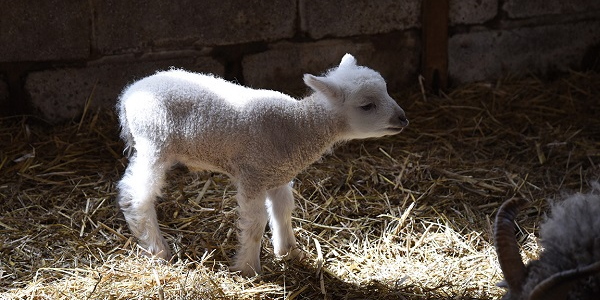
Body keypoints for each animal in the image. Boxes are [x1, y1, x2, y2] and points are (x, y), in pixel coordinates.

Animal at [116, 52, 408, 276]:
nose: (403, 119)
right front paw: (248, 269)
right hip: (154, 143)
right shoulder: (253, 175)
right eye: (367, 105)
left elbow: (283, 211)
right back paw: (157, 249)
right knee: (138, 197)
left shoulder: (277, 174)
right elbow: (256, 223)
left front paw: (289, 251)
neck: (297, 126)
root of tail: (130, 92)